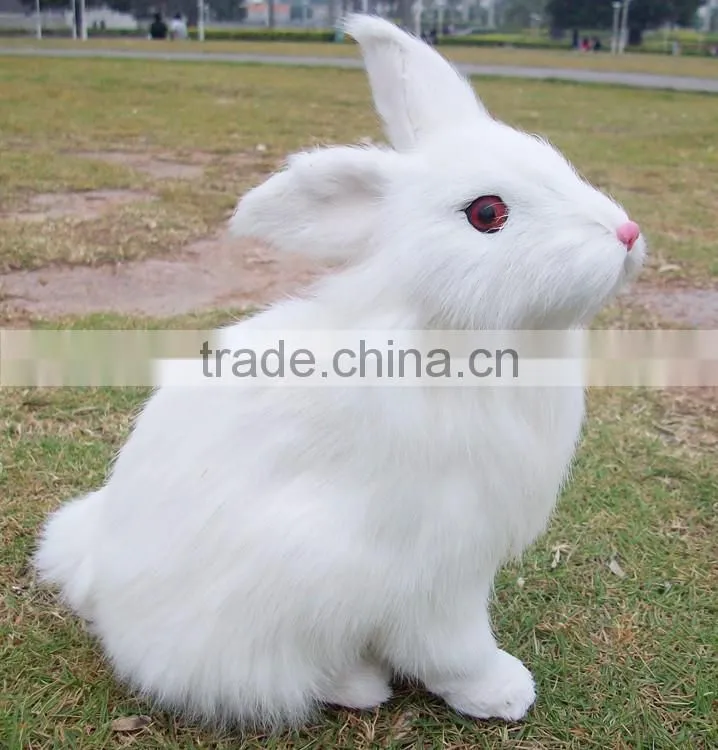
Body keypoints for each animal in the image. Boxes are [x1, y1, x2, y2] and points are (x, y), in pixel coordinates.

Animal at [32, 14, 645, 732]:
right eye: (487, 214)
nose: (627, 234)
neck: (449, 329)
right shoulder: (439, 564)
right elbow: (451, 647)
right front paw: (501, 693)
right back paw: (359, 684)